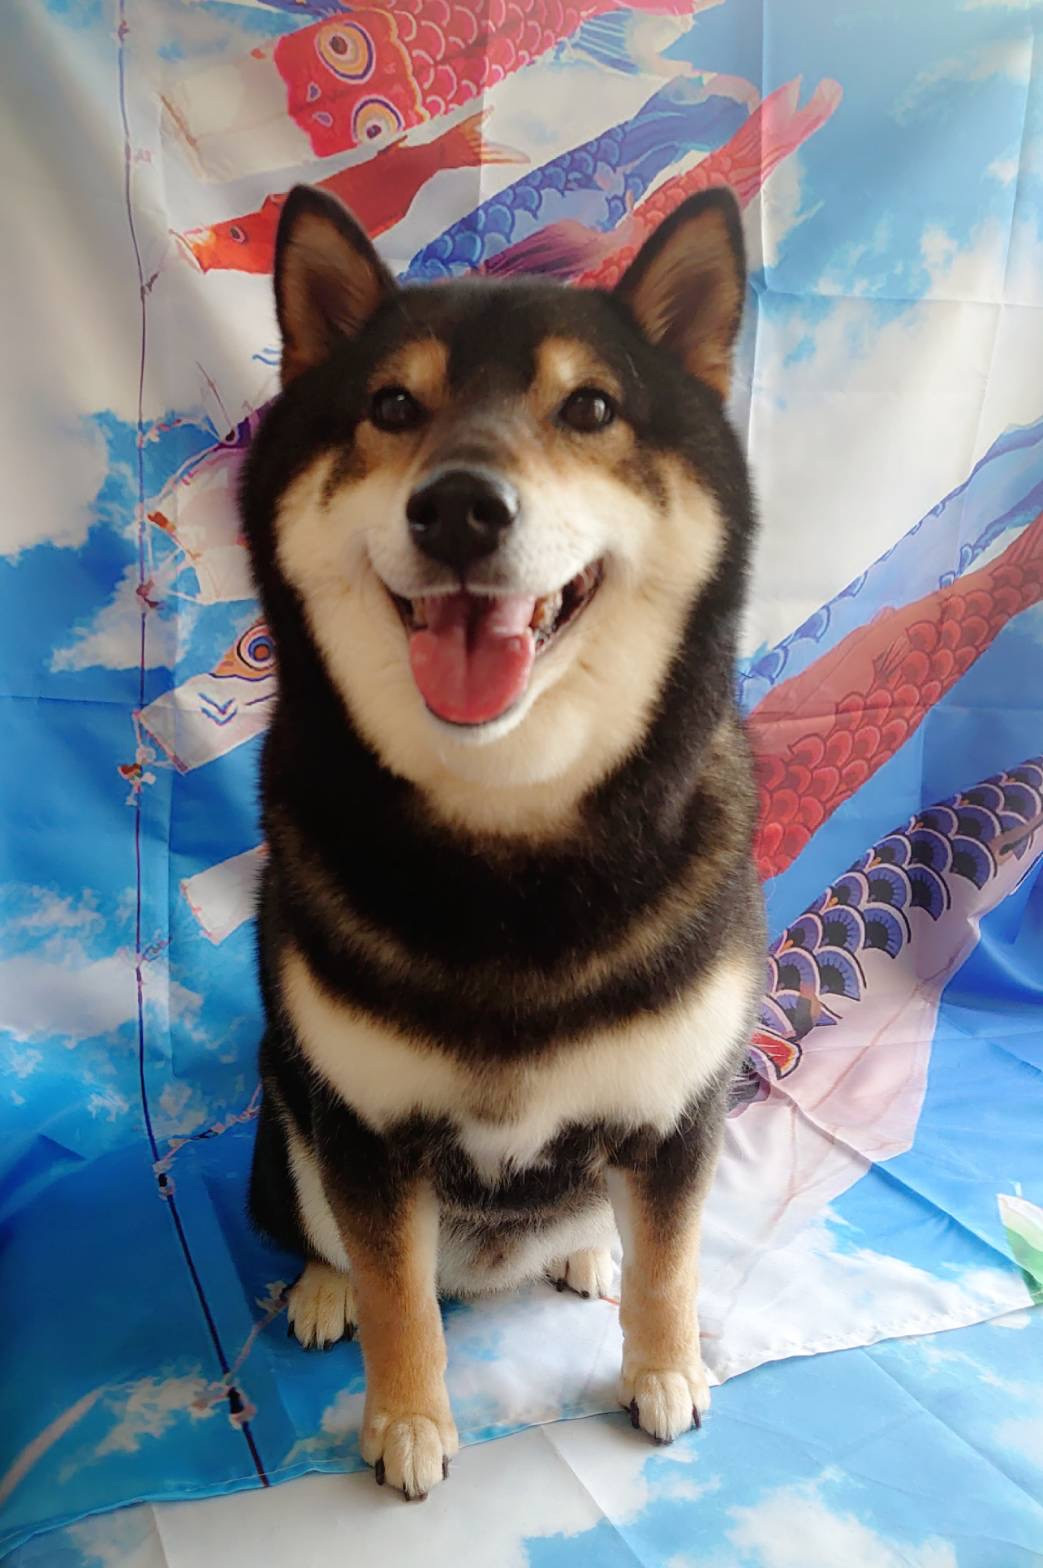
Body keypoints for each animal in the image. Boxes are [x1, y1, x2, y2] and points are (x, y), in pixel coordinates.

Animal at [243, 179, 764, 1501]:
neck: (510, 836)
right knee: (321, 1233)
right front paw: (405, 1421)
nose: (459, 506)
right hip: (283, 1109)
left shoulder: (678, 1107)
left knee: (603, 1224)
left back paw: (585, 1256)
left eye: (589, 407)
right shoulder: (364, 1127)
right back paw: (317, 1287)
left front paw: (662, 1369)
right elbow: (397, 1294)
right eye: (390, 405)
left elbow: (672, 1260)